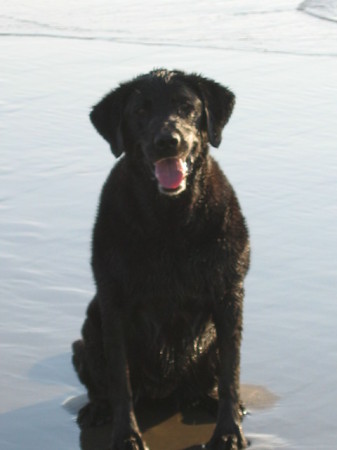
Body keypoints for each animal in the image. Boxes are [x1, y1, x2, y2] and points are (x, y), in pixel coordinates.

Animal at [71, 67, 249, 450]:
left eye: (186, 107)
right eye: (140, 111)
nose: (169, 141)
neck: (171, 221)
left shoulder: (229, 297)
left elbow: (231, 374)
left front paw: (228, 432)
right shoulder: (114, 303)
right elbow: (119, 381)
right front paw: (126, 435)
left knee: (208, 382)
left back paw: (208, 399)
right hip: (89, 329)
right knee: (101, 384)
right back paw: (98, 409)